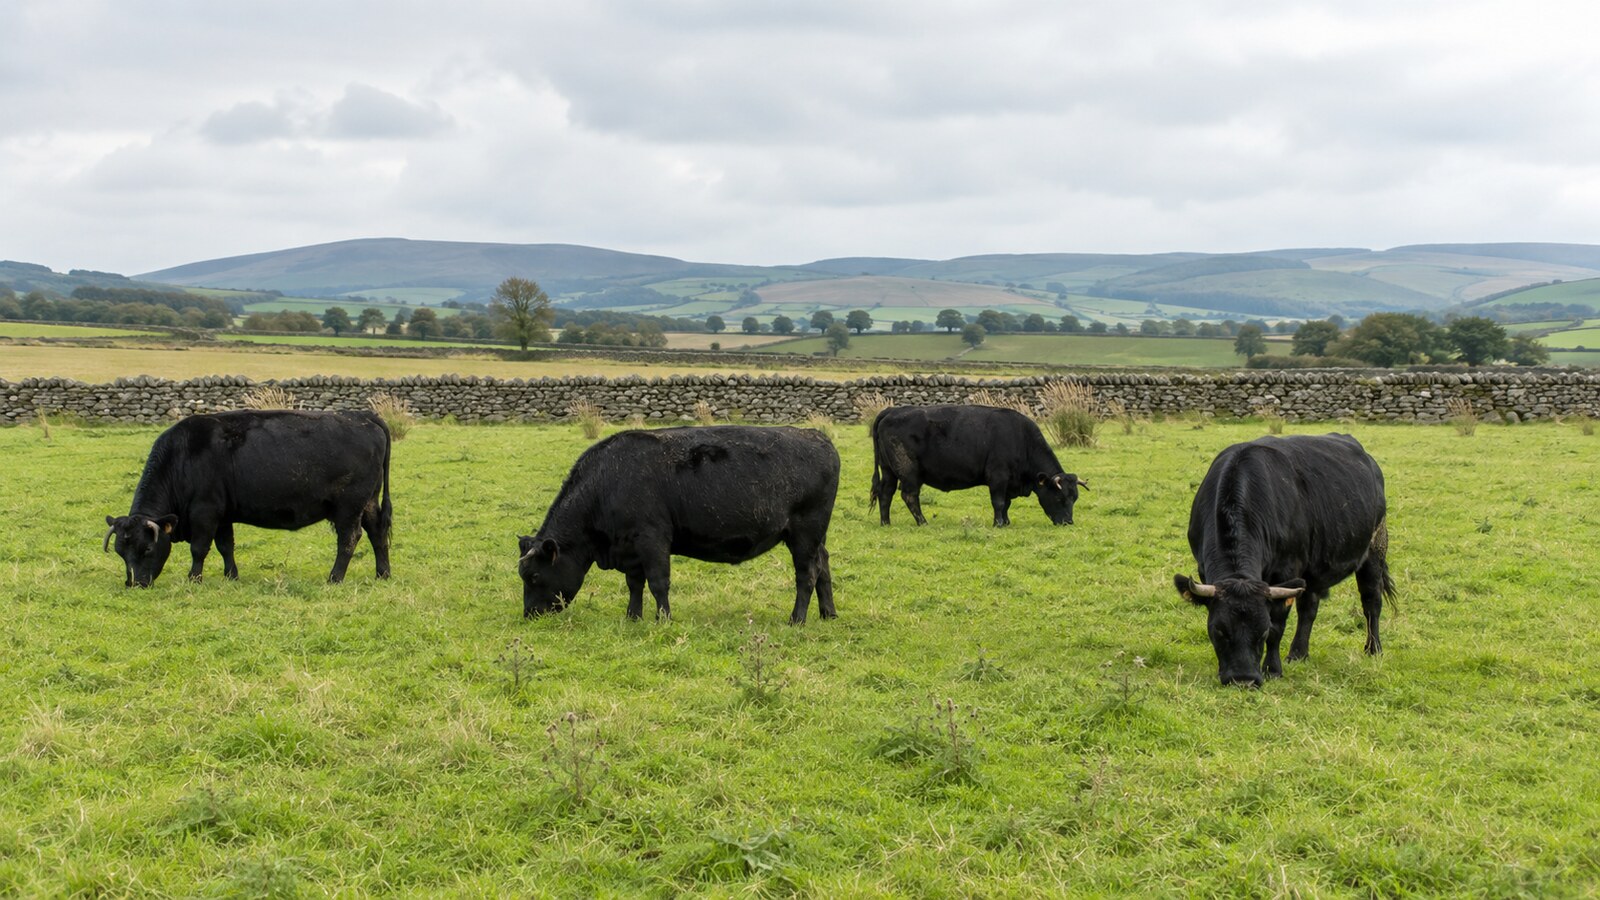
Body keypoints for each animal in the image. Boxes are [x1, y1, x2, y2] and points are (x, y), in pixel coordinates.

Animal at [103, 409, 392, 587]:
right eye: (120, 552)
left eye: (147, 548)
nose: (135, 584)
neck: (182, 458)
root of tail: (362, 416)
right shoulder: (222, 515)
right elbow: (225, 546)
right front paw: (231, 576)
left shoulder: (204, 512)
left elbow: (199, 548)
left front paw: (194, 578)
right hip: (368, 502)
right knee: (377, 532)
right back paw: (383, 574)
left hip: (349, 506)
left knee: (349, 539)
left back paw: (335, 578)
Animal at [518, 425, 839, 623]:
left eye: (533, 576)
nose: (529, 614)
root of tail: (817, 436)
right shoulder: (630, 546)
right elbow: (635, 583)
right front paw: (633, 617)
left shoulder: (652, 538)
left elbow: (658, 582)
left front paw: (664, 619)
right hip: (817, 538)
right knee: (823, 567)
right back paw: (828, 614)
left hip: (805, 534)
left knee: (807, 575)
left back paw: (796, 619)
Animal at [869, 404, 1088, 527]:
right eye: (1059, 498)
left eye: (1074, 498)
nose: (1068, 522)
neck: (1021, 439)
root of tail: (892, 410)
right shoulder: (998, 477)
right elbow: (998, 502)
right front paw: (998, 523)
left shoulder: (1008, 482)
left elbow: (1006, 503)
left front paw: (1006, 522)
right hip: (908, 472)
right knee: (909, 496)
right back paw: (923, 522)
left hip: (889, 470)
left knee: (886, 494)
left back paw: (885, 522)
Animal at [1173, 433, 1394, 687]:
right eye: (1218, 630)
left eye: (1262, 632)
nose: (1243, 680)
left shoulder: (1286, 572)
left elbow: (1278, 625)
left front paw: (1273, 669)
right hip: (1313, 571)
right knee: (1309, 608)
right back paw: (1298, 653)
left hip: (1375, 549)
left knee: (1371, 602)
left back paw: (1373, 649)